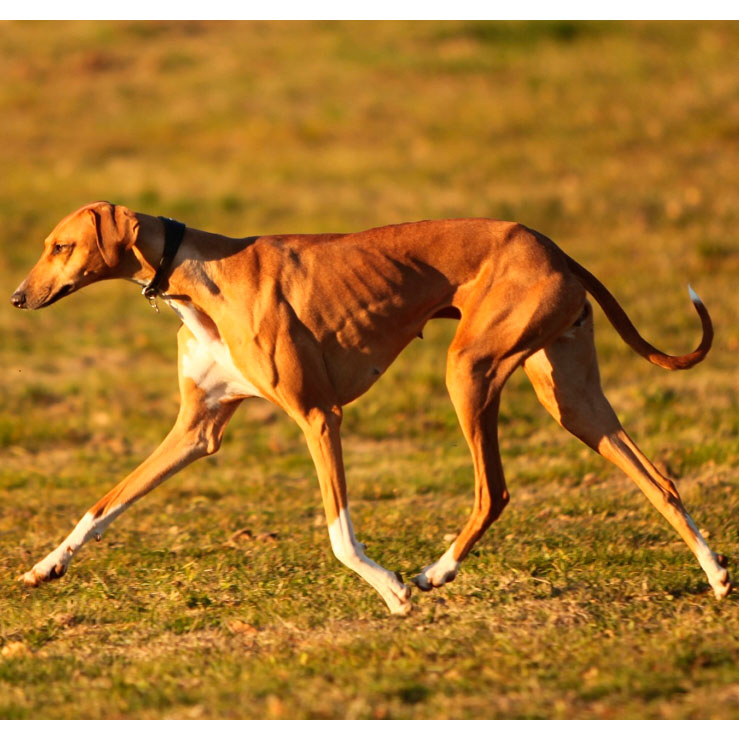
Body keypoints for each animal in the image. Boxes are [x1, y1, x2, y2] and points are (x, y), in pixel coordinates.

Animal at [11, 201, 736, 612]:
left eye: (61, 246)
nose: (17, 298)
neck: (199, 274)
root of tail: (553, 246)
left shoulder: (317, 416)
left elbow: (339, 534)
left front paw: (389, 589)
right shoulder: (197, 430)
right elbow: (103, 505)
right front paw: (47, 565)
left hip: (469, 372)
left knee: (494, 490)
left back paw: (435, 572)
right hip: (572, 397)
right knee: (660, 481)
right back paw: (717, 576)